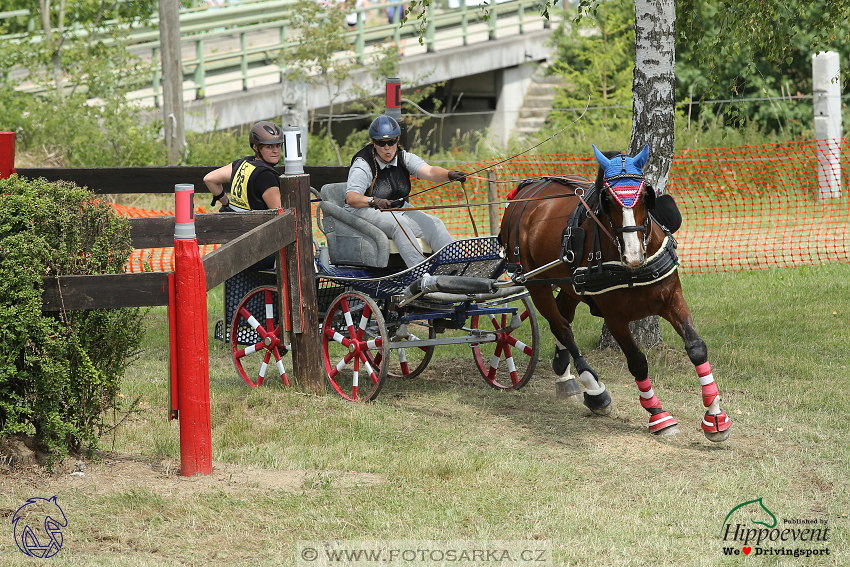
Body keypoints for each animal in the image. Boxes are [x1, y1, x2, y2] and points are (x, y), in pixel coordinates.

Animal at [500, 146, 732, 444]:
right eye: (608, 200)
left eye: (645, 195)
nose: (633, 254)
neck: (633, 267)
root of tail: (526, 190)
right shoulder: (614, 318)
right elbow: (638, 362)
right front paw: (658, 415)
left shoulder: (672, 299)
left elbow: (696, 348)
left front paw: (715, 415)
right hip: (535, 282)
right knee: (561, 327)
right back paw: (594, 389)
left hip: (571, 285)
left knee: (564, 315)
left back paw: (564, 373)